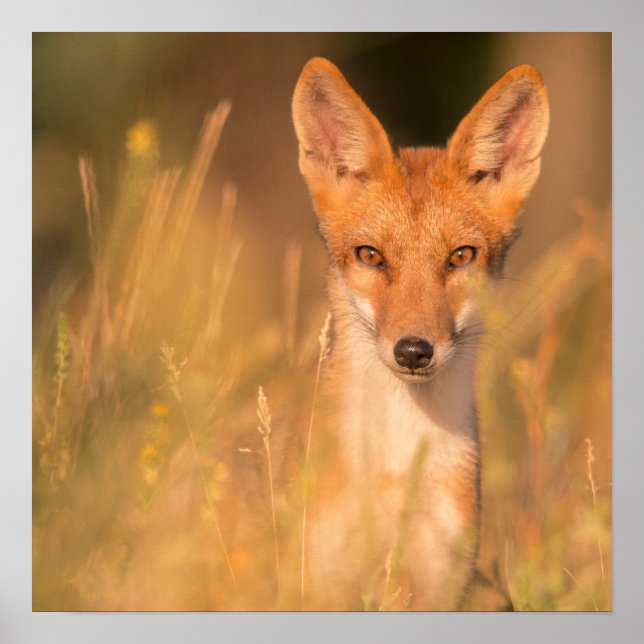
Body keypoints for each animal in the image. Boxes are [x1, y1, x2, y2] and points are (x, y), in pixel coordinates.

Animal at [291, 57, 549, 610]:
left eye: (460, 257)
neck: (397, 469)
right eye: (370, 255)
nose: (413, 351)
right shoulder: (315, 581)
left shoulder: (439, 585)